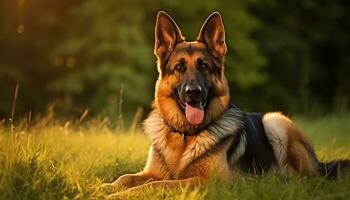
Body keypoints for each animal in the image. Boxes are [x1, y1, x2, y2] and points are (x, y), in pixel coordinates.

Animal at [104, 11, 350, 198]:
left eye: (203, 66)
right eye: (179, 67)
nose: (193, 93)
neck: (184, 136)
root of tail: (319, 163)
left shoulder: (210, 181)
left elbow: (156, 184)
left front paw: (120, 195)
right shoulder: (150, 172)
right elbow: (126, 177)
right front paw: (107, 186)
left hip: (275, 120)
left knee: (307, 178)